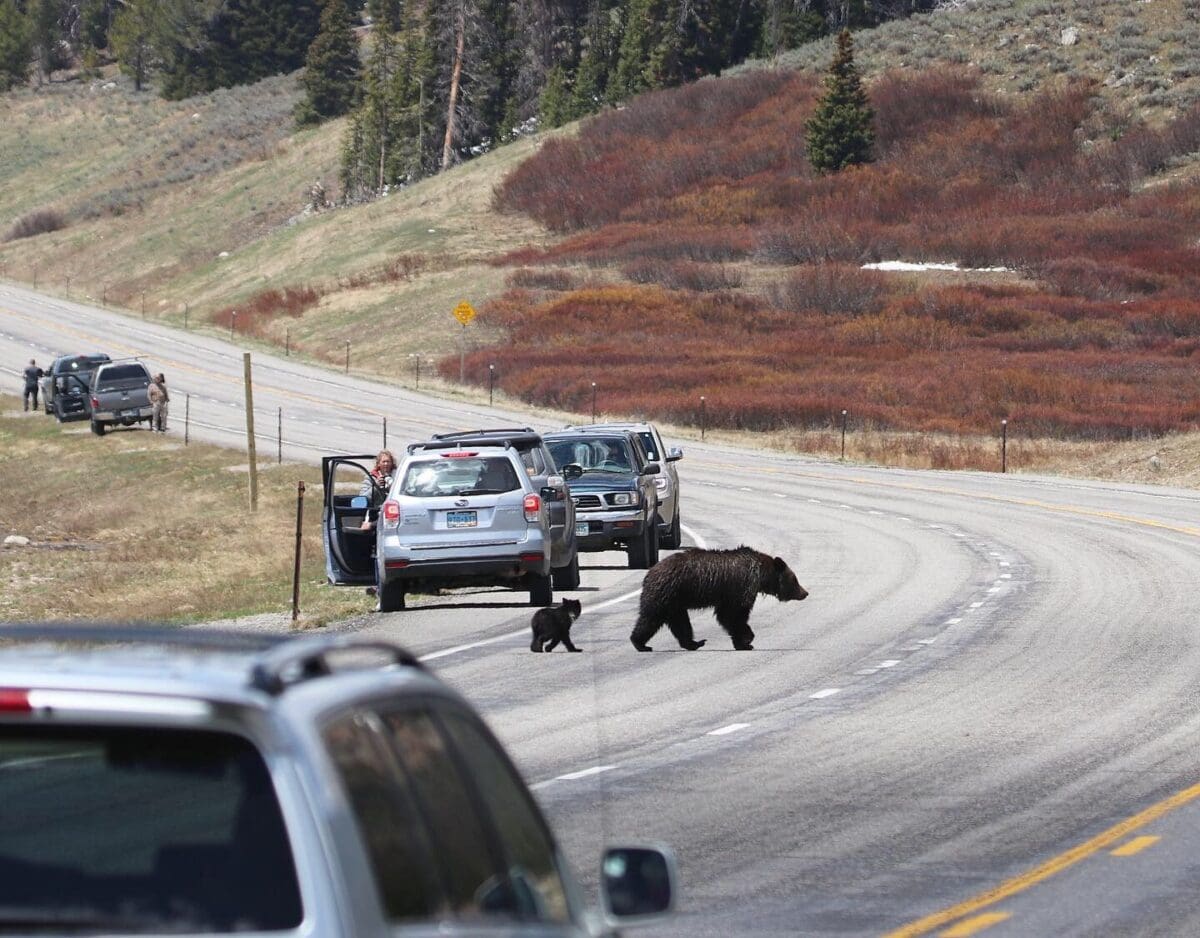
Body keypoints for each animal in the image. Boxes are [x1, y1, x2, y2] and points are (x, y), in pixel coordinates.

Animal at [630, 546, 807, 651]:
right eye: (795, 580)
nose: (805, 593)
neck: (761, 575)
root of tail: (649, 573)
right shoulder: (741, 588)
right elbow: (733, 615)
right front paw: (747, 640)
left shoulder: (729, 594)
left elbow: (726, 616)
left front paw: (743, 641)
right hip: (666, 593)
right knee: (651, 617)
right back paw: (640, 643)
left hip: (674, 601)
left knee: (680, 622)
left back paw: (693, 643)